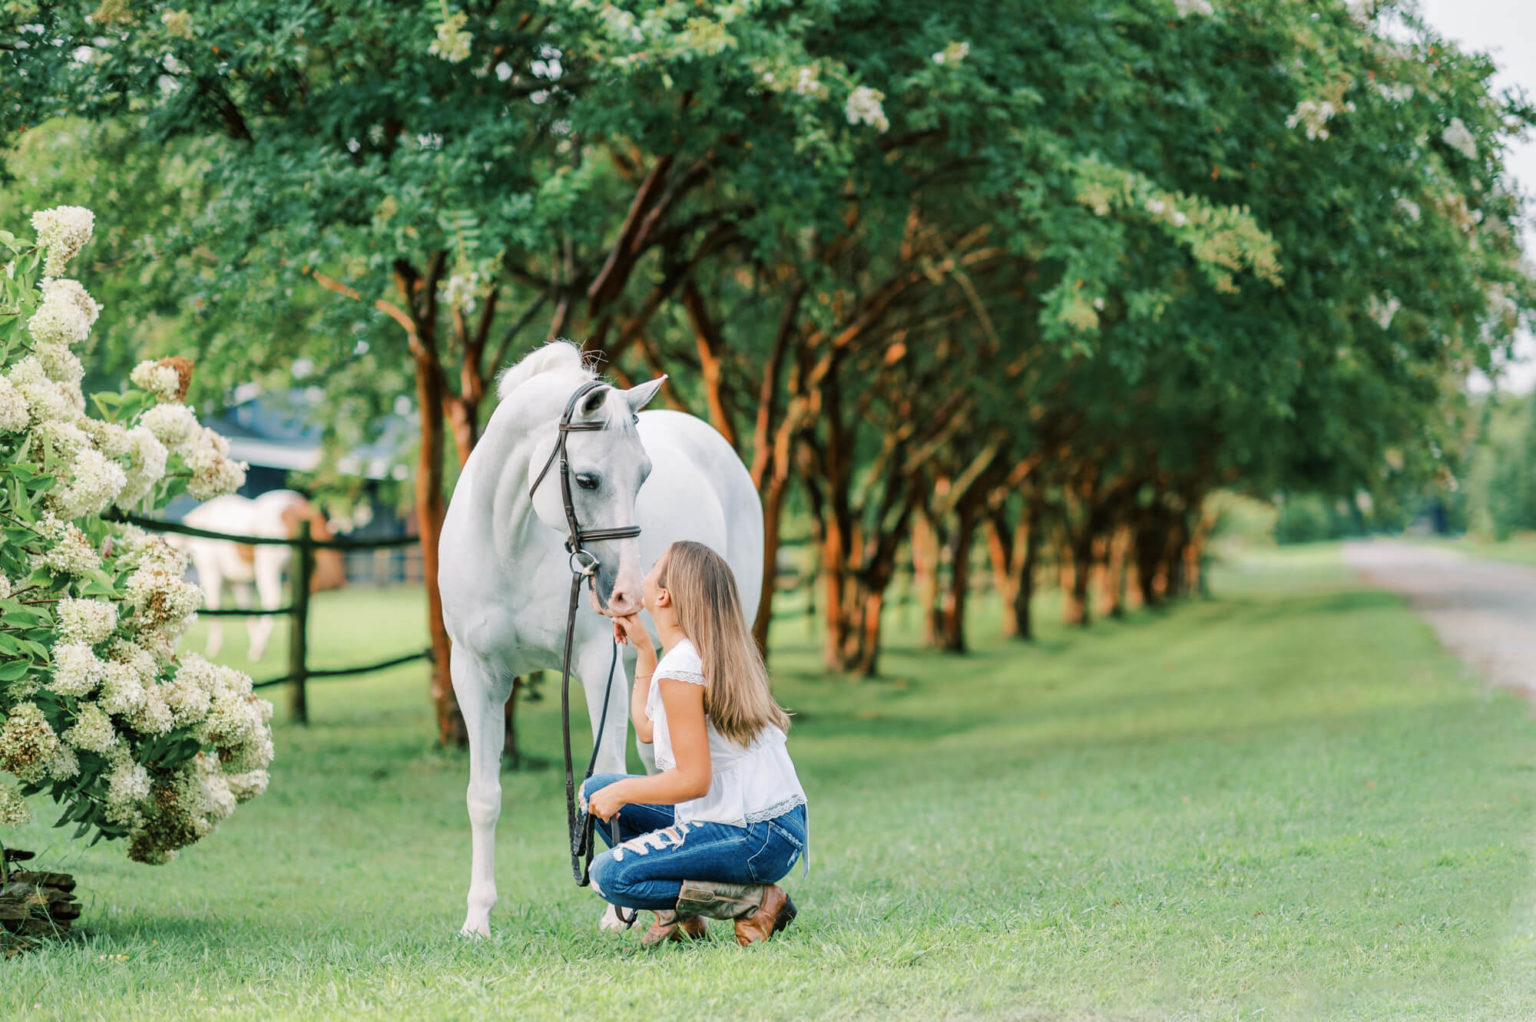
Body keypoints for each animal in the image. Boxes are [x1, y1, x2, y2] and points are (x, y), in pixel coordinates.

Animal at [174, 488, 345, 660]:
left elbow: (215, 606)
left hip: (267, 566)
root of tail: (301, 507)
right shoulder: (239, 581)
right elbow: (246, 609)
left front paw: (215, 647)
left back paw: (258, 648)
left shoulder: (211, 573)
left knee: (272, 600)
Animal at [439, 344, 761, 940]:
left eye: (644, 476)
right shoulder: (475, 674)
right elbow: (483, 797)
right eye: (587, 480)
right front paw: (477, 920)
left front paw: (615, 917)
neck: (508, 544)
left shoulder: (596, 665)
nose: (629, 591)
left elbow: (608, 779)